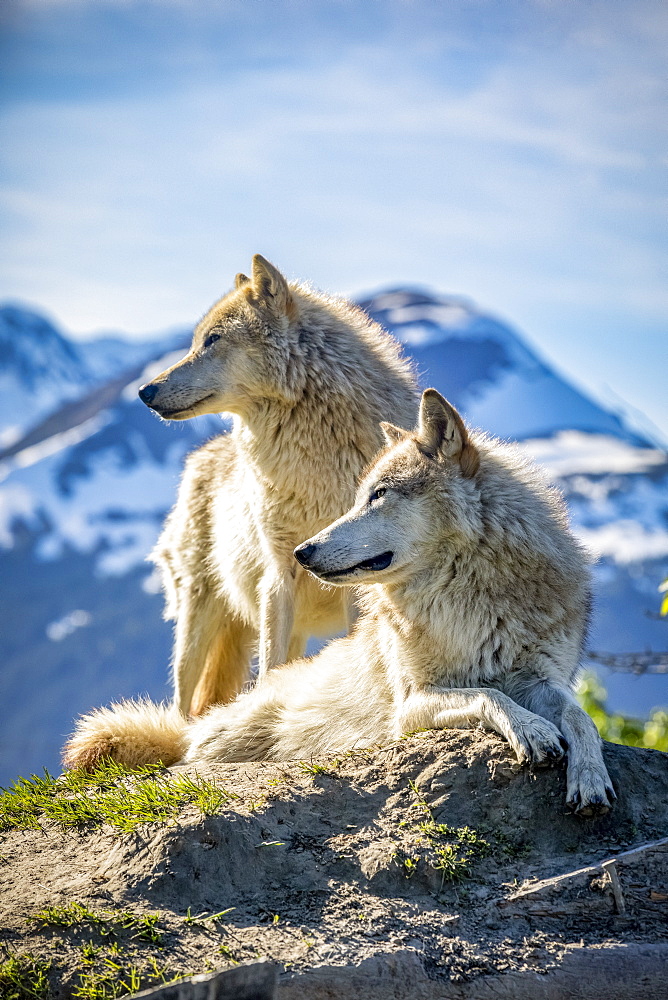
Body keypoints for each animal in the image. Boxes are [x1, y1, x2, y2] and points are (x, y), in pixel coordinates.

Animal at [64, 386, 616, 816]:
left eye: (379, 495)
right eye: (358, 496)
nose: (302, 552)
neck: (470, 598)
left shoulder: (543, 680)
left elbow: (579, 717)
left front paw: (590, 776)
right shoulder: (411, 705)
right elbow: (489, 696)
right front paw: (533, 731)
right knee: (183, 757)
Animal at [137, 254, 418, 716]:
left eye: (212, 340)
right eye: (197, 341)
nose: (144, 390)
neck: (310, 461)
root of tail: (202, 455)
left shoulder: (354, 586)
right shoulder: (278, 573)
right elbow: (269, 668)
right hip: (196, 622)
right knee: (183, 703)